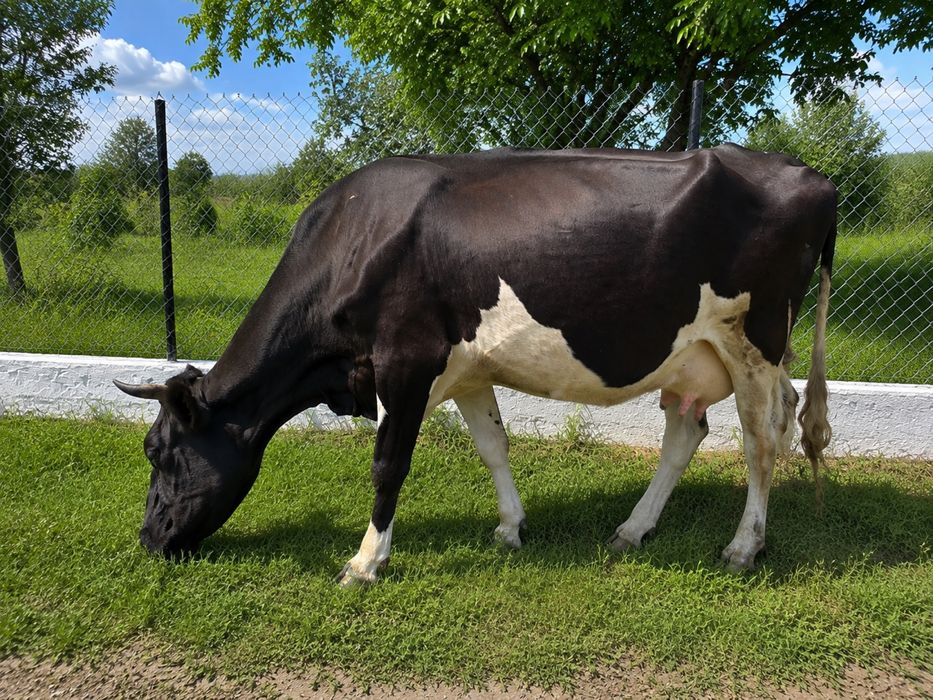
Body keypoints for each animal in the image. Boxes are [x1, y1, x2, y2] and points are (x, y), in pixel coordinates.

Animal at [115, 144, 835, 585]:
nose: (149, 538)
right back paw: (632, 530)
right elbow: (492, 445)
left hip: (756, 342)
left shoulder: (405, 361)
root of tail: (810, 175)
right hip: (693, 356)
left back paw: (743, 546)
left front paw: (365, 561)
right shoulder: (465, 370)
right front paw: (511, 527)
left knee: (762, 439)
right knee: (687, 433)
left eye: (158, 452)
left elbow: (388, 464)